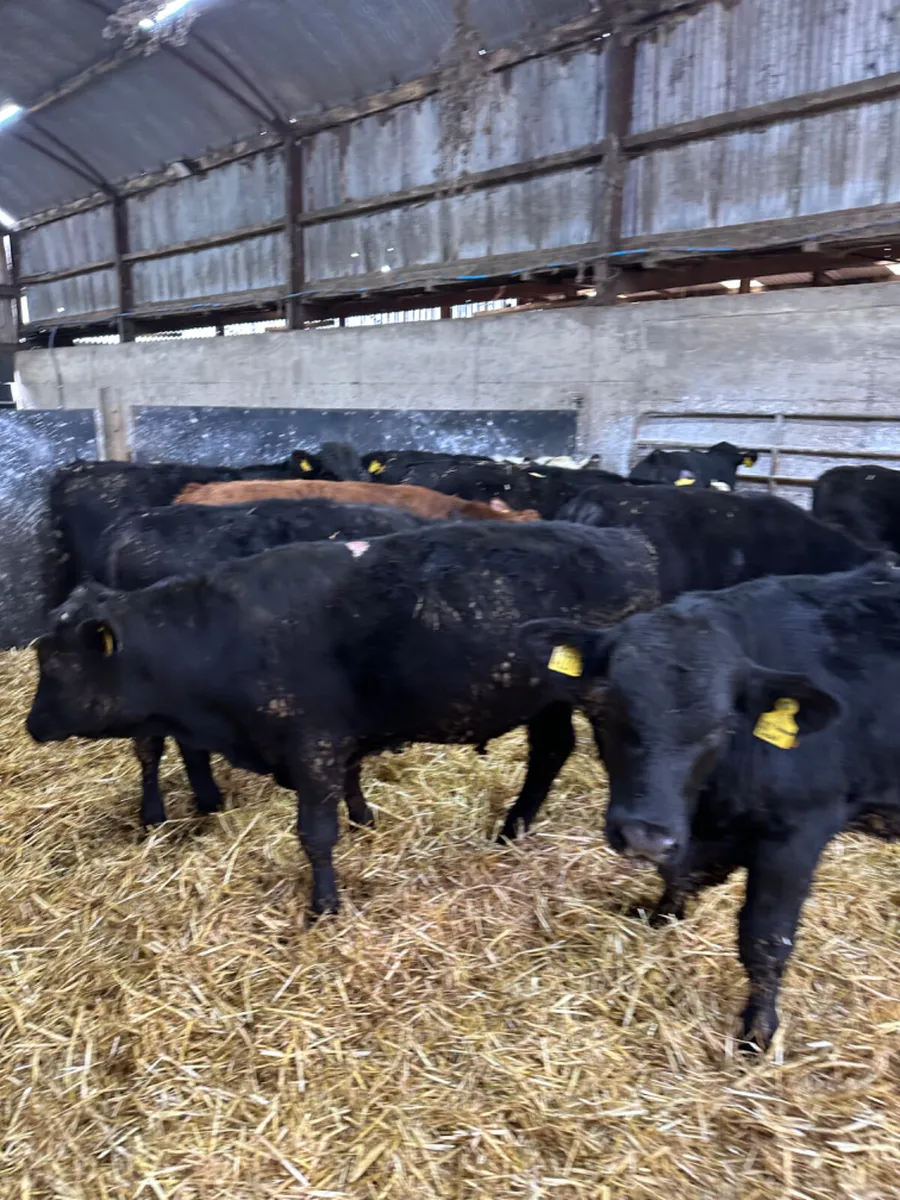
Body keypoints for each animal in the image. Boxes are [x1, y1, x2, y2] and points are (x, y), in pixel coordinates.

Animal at [27, 523, 660, 915]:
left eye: (57, 663)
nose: (32, 725)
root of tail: (628, 539)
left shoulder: (313, 744)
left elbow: (315, 833)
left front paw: (325, 905)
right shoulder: (335, 739)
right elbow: (351, 786)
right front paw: (365, 818)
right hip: (545, 700)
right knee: (551, 748)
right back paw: (511, 830)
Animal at [519, 560, 900, 1050]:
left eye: (722, 727)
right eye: (602, 710)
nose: (644, 837)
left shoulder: (798, 832)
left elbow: (766, 937)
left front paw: (758, 1033)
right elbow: (682, 877)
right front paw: (658, 920)